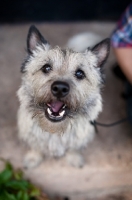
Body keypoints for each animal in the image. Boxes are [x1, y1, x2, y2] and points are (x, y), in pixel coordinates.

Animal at [16, 25, 109, 169]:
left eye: (80, 73)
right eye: (46, 68)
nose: (60, 88)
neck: (55, 129)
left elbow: (73, 149)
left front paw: (74, 158)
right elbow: (36, 146)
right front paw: (33, 158)